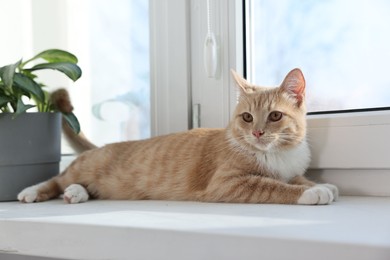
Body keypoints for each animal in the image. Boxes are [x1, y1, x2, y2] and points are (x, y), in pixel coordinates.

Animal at [17, 68, 338, 205]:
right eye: (247, 117)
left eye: (274, 116)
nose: (257, 132)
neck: (276, 155)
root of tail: (102, 146)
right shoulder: (228, 184)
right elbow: (273, 186)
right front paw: (312, 193)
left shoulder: (290, 170)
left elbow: (296, 179)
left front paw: (320, 185)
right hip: (82, 168)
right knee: (57, 179)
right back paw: (32, 191)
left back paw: (76, 194)